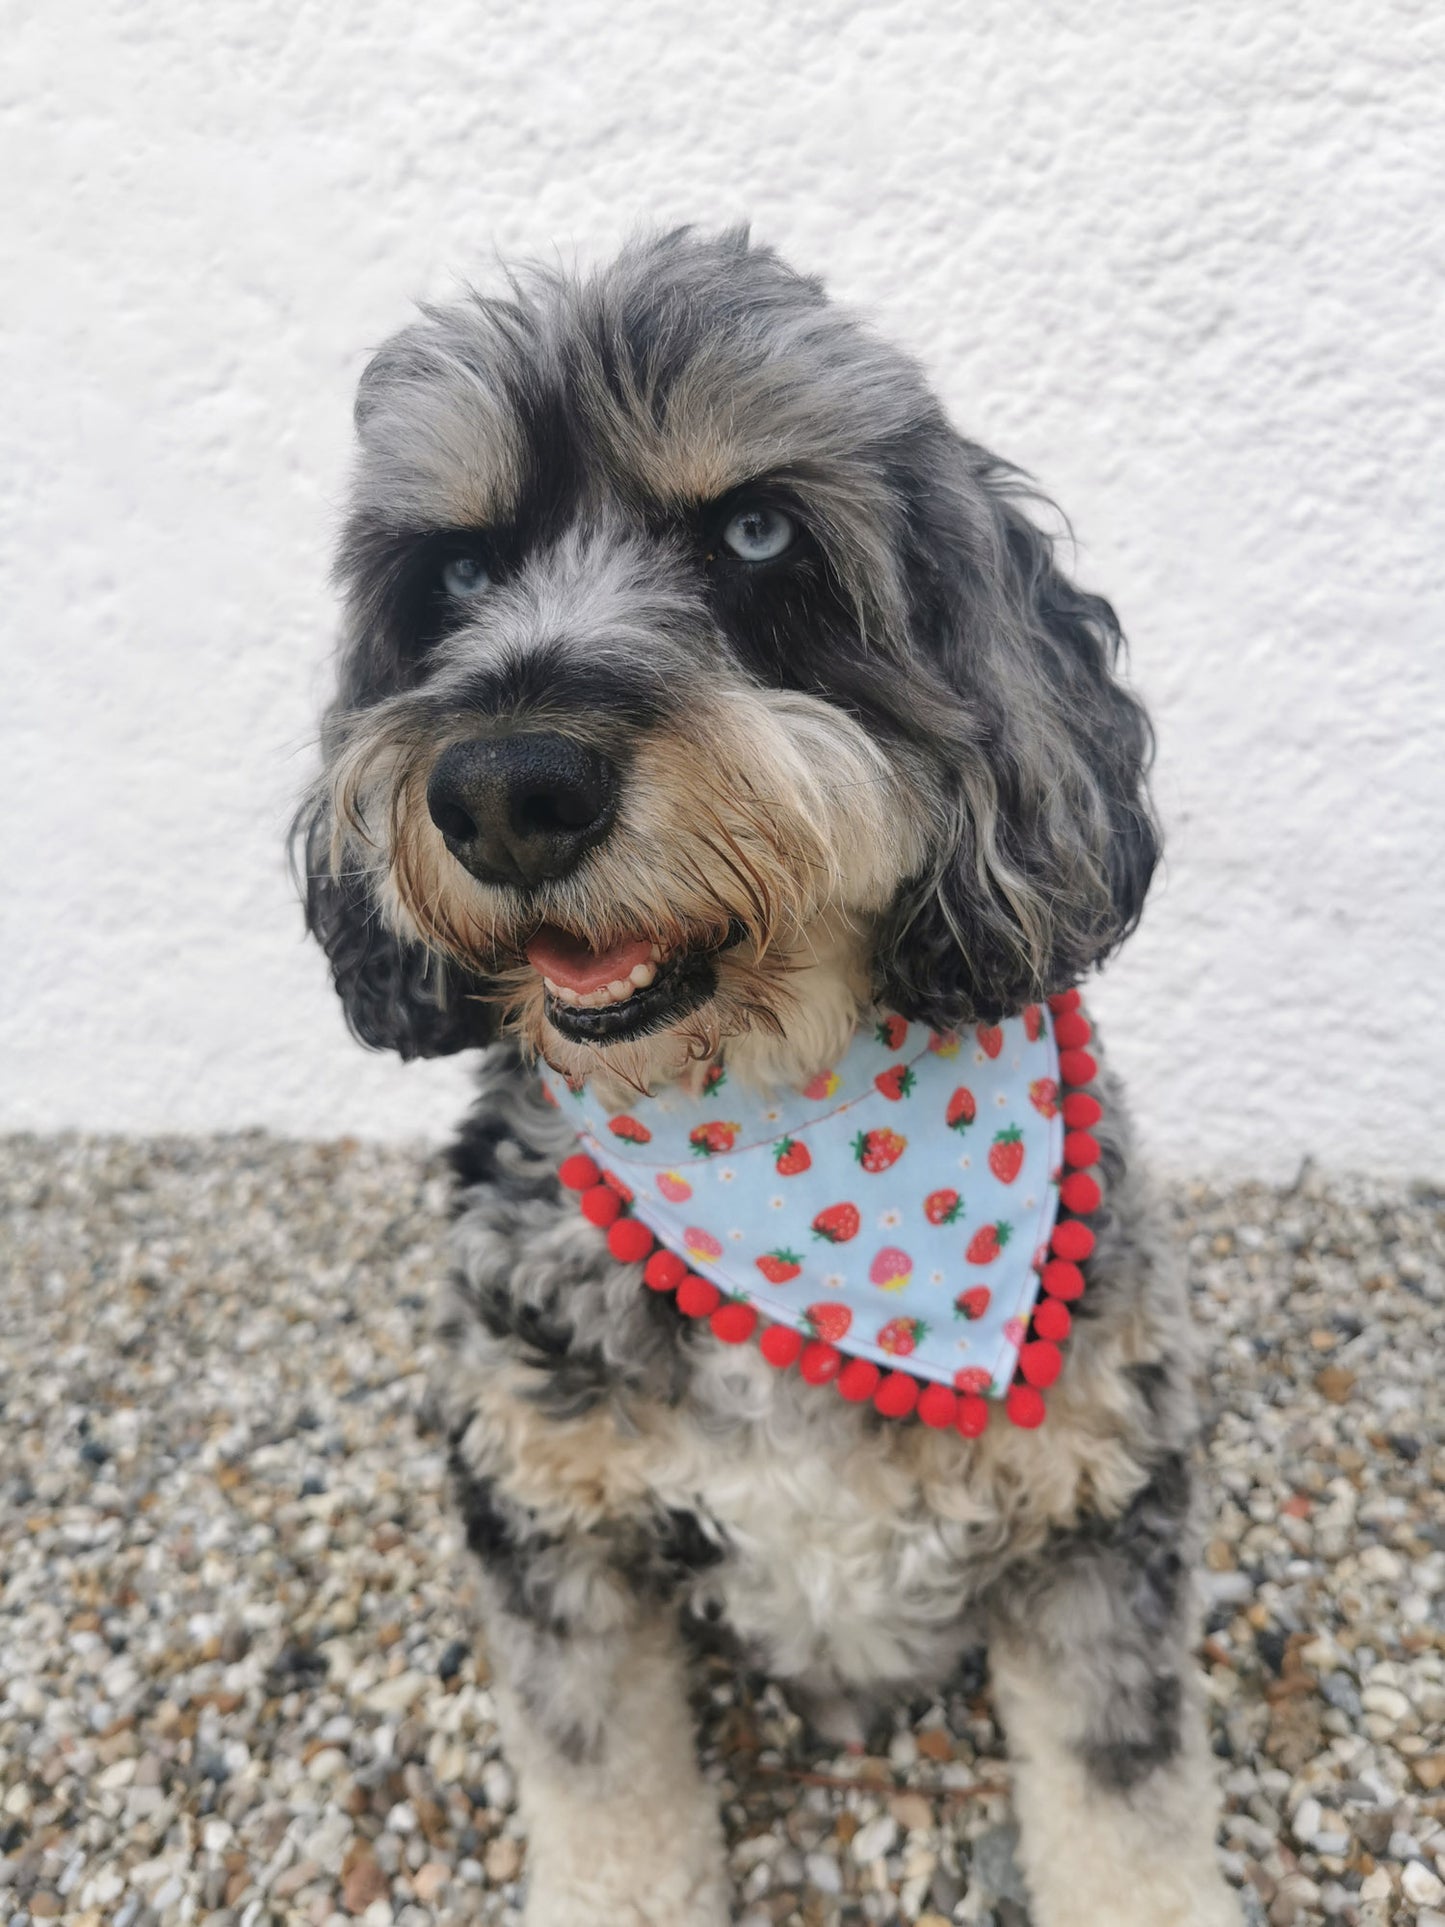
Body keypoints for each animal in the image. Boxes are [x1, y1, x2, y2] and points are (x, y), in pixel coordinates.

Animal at [296, 229, 1248, 1927]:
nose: (506, 788)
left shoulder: (1097, 1505)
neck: (764, 1119)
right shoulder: (549, 1519)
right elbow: (605, 1793)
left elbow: (1125, 1802)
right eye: (456, 572)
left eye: (754, 529)